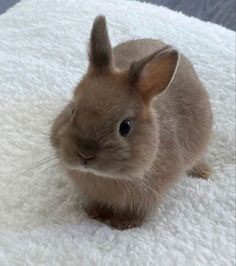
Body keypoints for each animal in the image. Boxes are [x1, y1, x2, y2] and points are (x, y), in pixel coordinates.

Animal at [50, 15, 213, 230]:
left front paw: (123, 224)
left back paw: (205, 173)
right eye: (73, 110)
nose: (85, 154)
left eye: (125, 126)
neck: (103, 177)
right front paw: (94, 214)